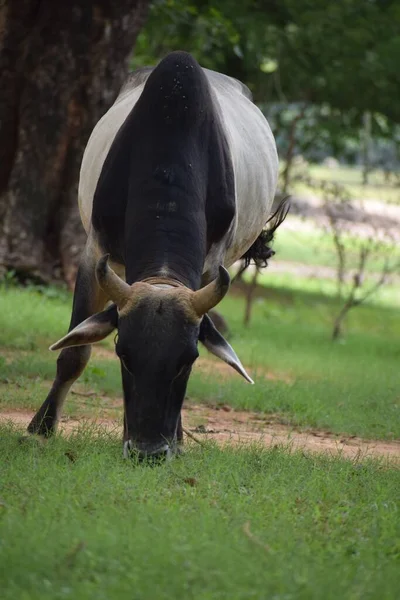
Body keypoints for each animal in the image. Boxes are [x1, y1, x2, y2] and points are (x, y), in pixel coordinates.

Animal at [28, 51, 280, 460]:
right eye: (123, 354)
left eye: (187, 361)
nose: (148, 451)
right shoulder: (93, 253)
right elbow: (74, 354)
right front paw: (42, 427)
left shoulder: (209, 269)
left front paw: (177, 439)